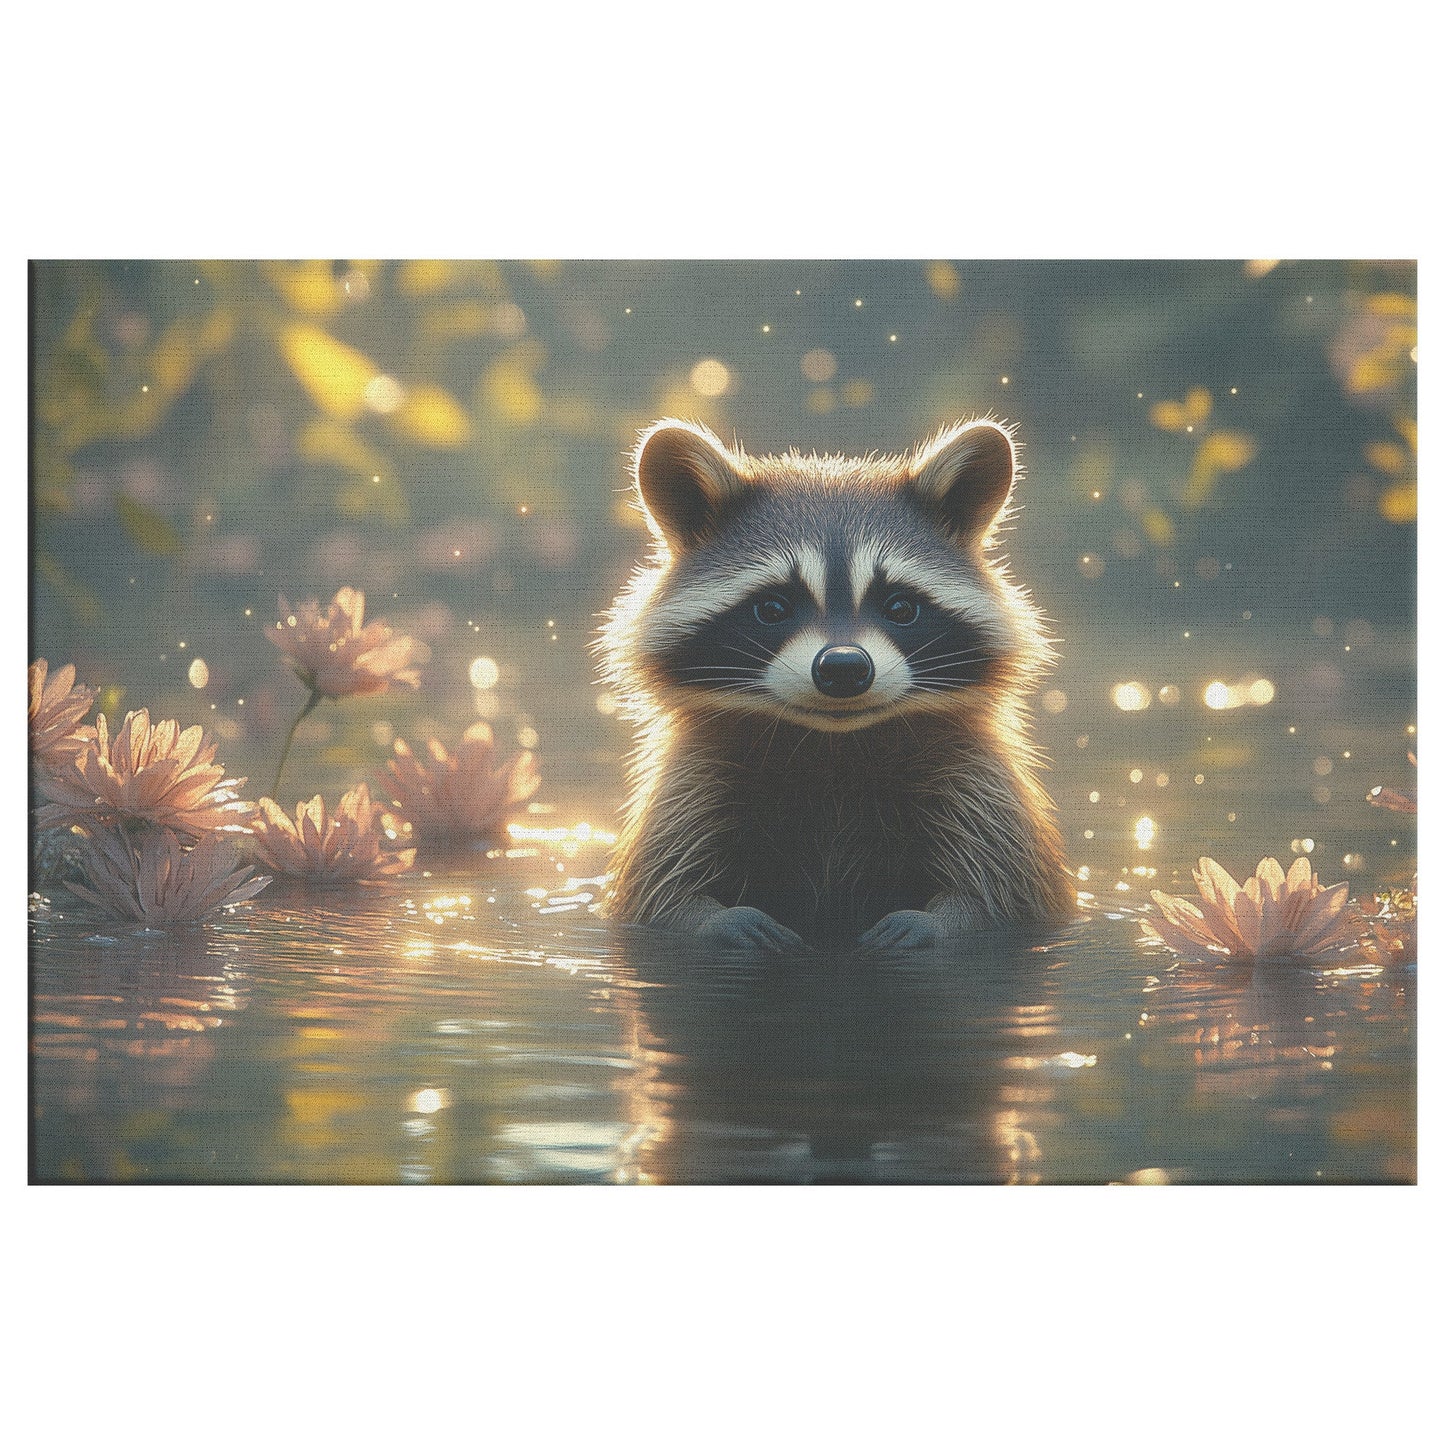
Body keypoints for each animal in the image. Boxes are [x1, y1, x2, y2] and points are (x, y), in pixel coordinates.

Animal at [596, 416, 1074, 950]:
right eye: (773, 608)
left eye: (900, 607)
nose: (844, 667)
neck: (834, 747)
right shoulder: (691, 786)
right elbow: (662, 898)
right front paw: (718, 920)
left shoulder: (979, 785)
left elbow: (1001, 900)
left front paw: (937, 922)